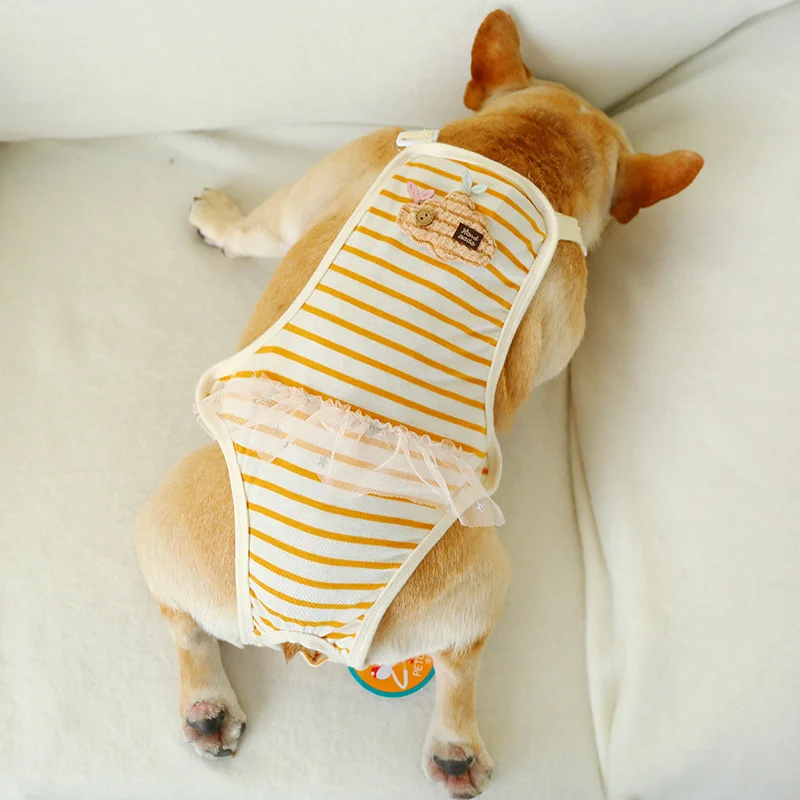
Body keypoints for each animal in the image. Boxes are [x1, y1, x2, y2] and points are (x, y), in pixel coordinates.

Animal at [135, 10, 702, 798]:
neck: (525, 153)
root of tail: (304, 631)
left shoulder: (310, 193)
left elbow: (254, 230)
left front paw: (219, 220)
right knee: (460, 663)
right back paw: (451, 749)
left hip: (168, 515)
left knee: (184, 622)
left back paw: (208, 704)